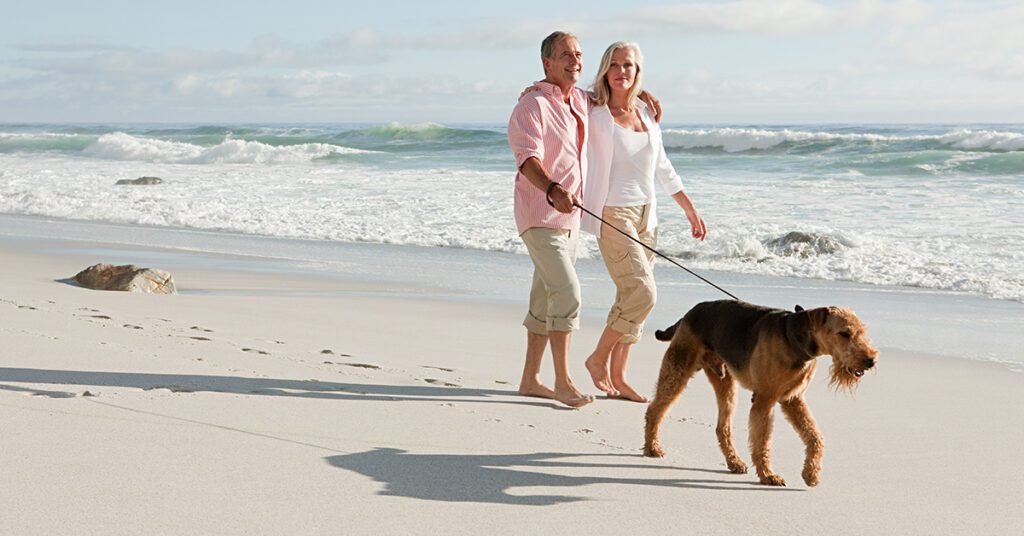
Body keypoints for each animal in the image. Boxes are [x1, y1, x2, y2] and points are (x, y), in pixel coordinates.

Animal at [643, 299, 876, 487]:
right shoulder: (765, 399)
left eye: (862, 331)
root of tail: (689, 313)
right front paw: (768, 476)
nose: (870, 360)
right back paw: (652, 448)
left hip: (725, 382)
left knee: (722, 427)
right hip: (678, 369)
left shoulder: (793, 399)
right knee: (654, 409)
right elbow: (763, 442)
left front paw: (811, 475)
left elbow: (815, 437)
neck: (794, 339)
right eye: (844, 333)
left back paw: (735, 462)